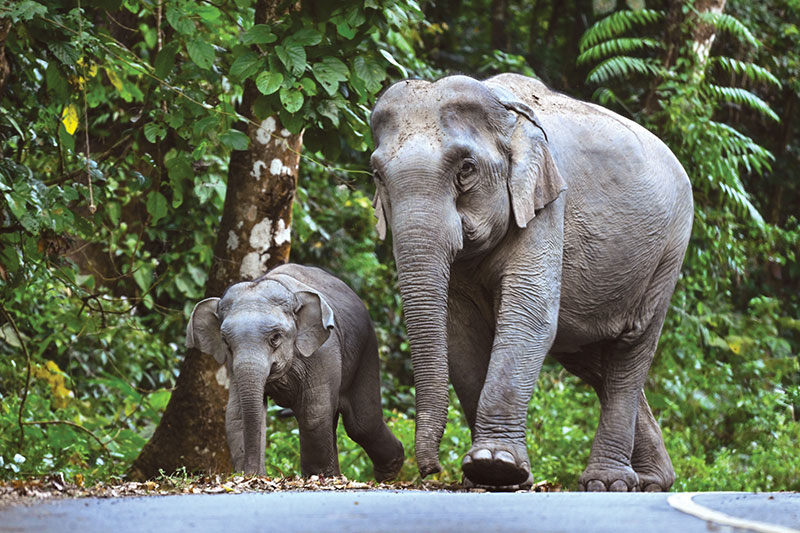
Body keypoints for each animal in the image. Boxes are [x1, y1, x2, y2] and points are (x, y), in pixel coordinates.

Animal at [184, 264, 404, 480]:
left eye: (275, 337)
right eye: (226, 342)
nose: (250, 475)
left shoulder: (324, 351)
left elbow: (313, 412)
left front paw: (315, 477)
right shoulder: (232, 366)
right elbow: (236, 416)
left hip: (366, 349)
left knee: (361, 424)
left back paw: (388, 472)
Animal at [372, 74, 692, 490]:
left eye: (466, 168)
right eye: (377, 175)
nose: (430, 470)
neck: (506, 113)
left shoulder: (547, 204)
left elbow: (529, 313)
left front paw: (496, 465)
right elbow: (461, 333)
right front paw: (495, 478)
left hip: (668, 251)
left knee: (630, 348)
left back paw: (609, 483)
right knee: (591, 361)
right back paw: (654, 481)